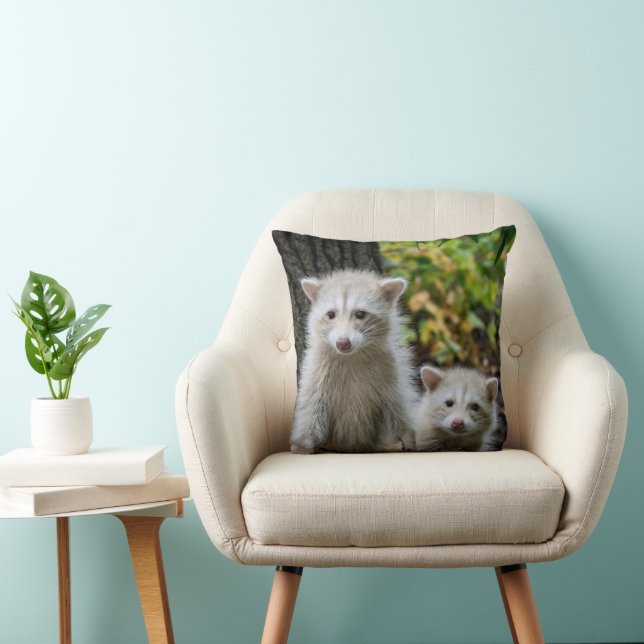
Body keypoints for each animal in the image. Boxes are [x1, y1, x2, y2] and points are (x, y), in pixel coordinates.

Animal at [290, 269, 416, 454]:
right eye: (331, 314)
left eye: (360, 314)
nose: (343, 343)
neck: (351, 355)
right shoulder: (317, 369)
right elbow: (312, 403)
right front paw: (304, 442)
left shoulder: (390, 370)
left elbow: (397, 403)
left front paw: (408, 436)